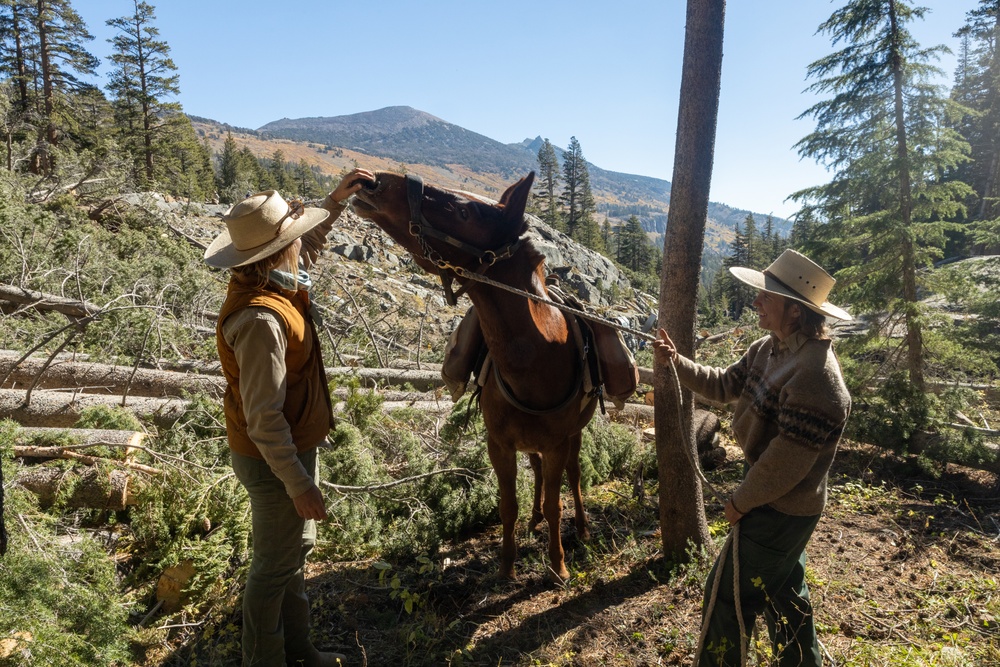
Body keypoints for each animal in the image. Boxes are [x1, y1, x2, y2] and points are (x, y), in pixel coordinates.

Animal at [354, 171, 592, 580]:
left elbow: (555, 503)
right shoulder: (499, 444)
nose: (373, 182)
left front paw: (558, 566)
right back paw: (533, 522)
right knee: (537, 473)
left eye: (463, 211)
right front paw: (507, 565)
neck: (534, 361)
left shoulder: (558, 443)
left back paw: (580, 527)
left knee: (573, 476)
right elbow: (508, 505)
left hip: (573, 436)